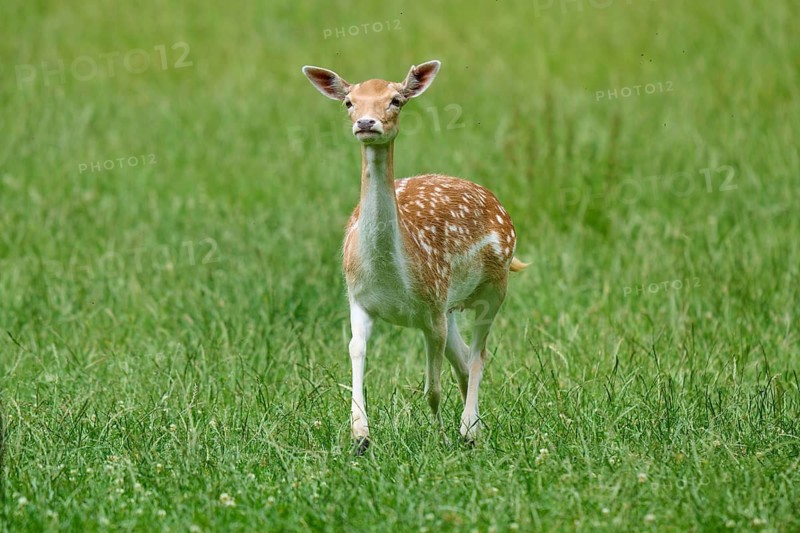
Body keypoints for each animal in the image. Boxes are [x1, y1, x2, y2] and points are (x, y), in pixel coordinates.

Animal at [302, 60, 527, 453]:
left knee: (478, 353)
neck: (391, 277)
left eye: (396, 100)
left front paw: (441, 436)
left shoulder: (431, 308)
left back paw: (469, 428)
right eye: (349, 101)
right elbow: (356, 349)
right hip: (452, 307)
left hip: (494, 287)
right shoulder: (358, 298)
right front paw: (360, 435)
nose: (366, 123)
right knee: (463, 357)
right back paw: (476, 426)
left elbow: (431, 389)